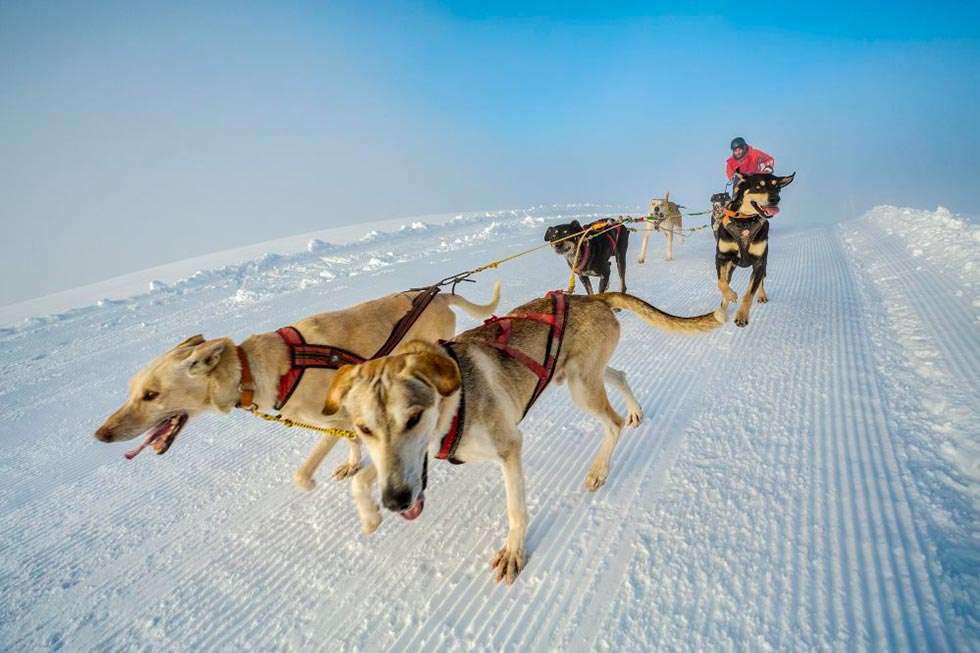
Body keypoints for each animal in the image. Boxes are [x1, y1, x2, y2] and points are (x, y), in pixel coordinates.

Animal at [324, 292, 728, 584]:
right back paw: (634, 411)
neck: (455, 399)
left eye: (413, 418)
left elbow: (516, 510)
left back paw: (600, 469)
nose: (395, 501)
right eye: (363, 429)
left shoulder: (508, 448)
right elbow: (364, 476)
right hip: (581, 378)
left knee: (611, 423)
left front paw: (514, 553)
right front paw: (369, 516)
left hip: (581, 388)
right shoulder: (408, 462)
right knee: (619, 375)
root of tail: (591, 297)